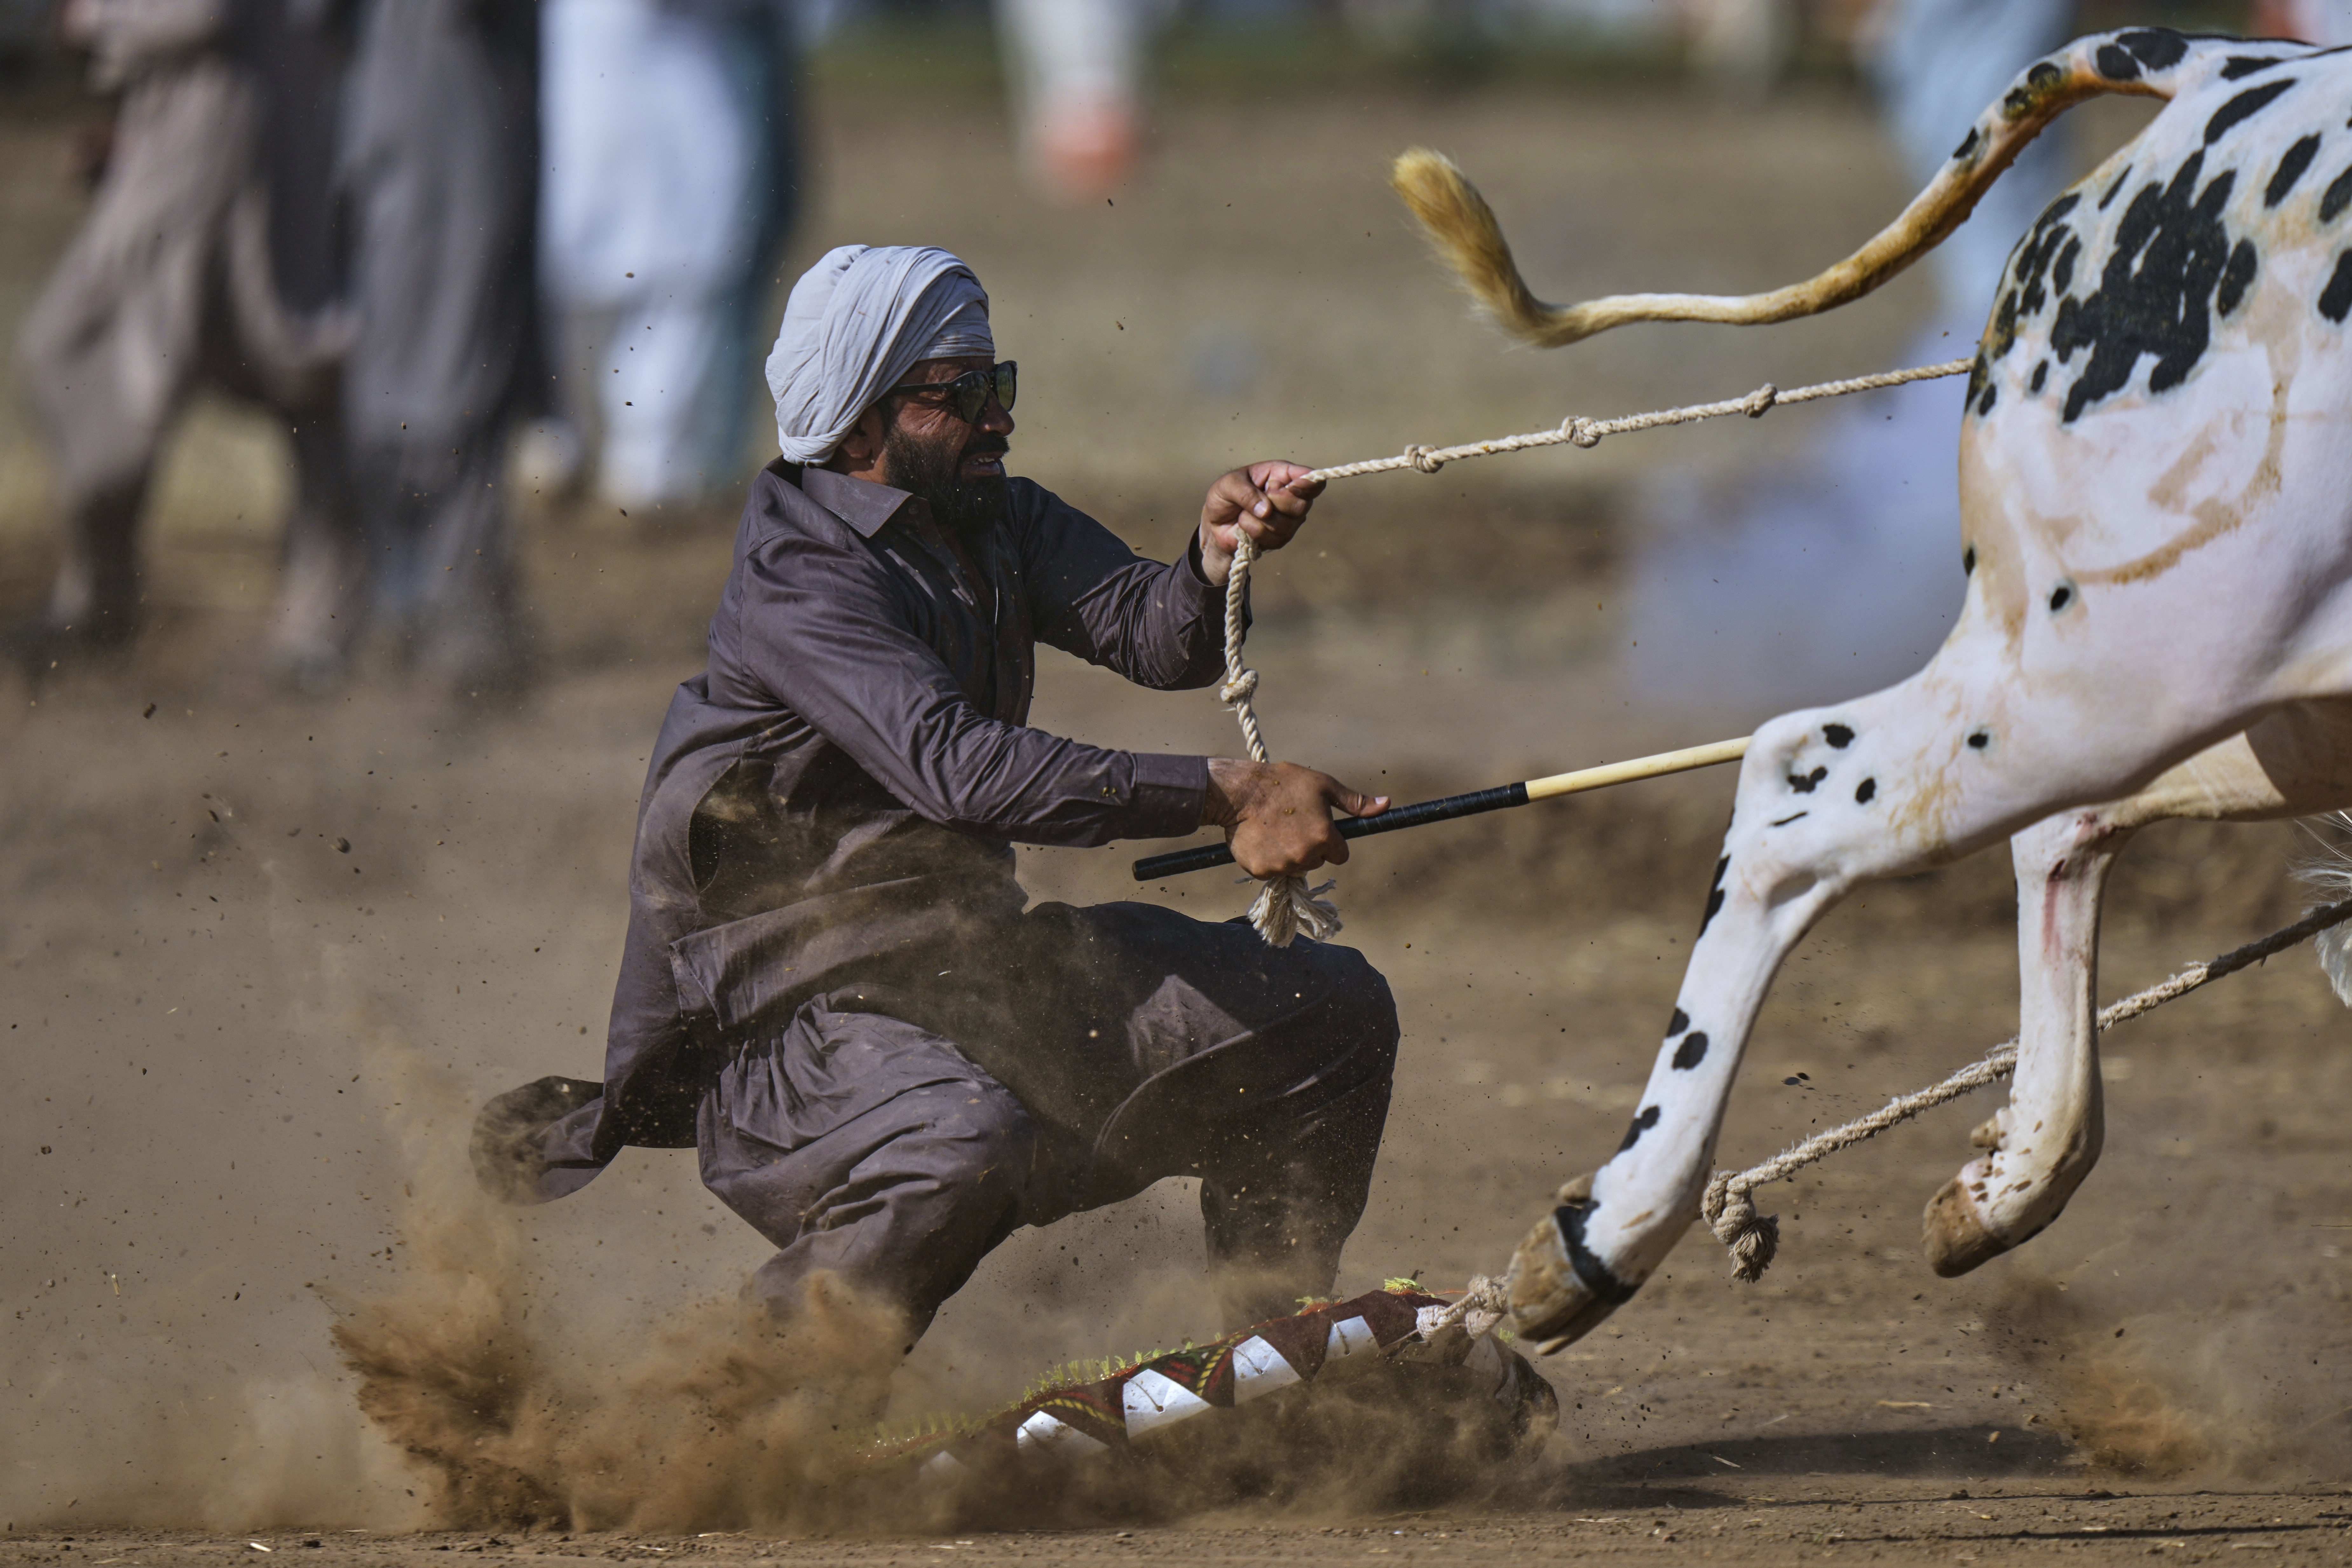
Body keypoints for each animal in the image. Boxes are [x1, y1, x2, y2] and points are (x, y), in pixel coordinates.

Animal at [1390, 27, 2352, 1352]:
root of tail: (2211, 65)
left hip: (2237, 693)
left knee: (2044, 828)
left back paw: (2010, 1176)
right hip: (2145, 654)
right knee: (1793, 799)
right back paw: (1610, 1233)